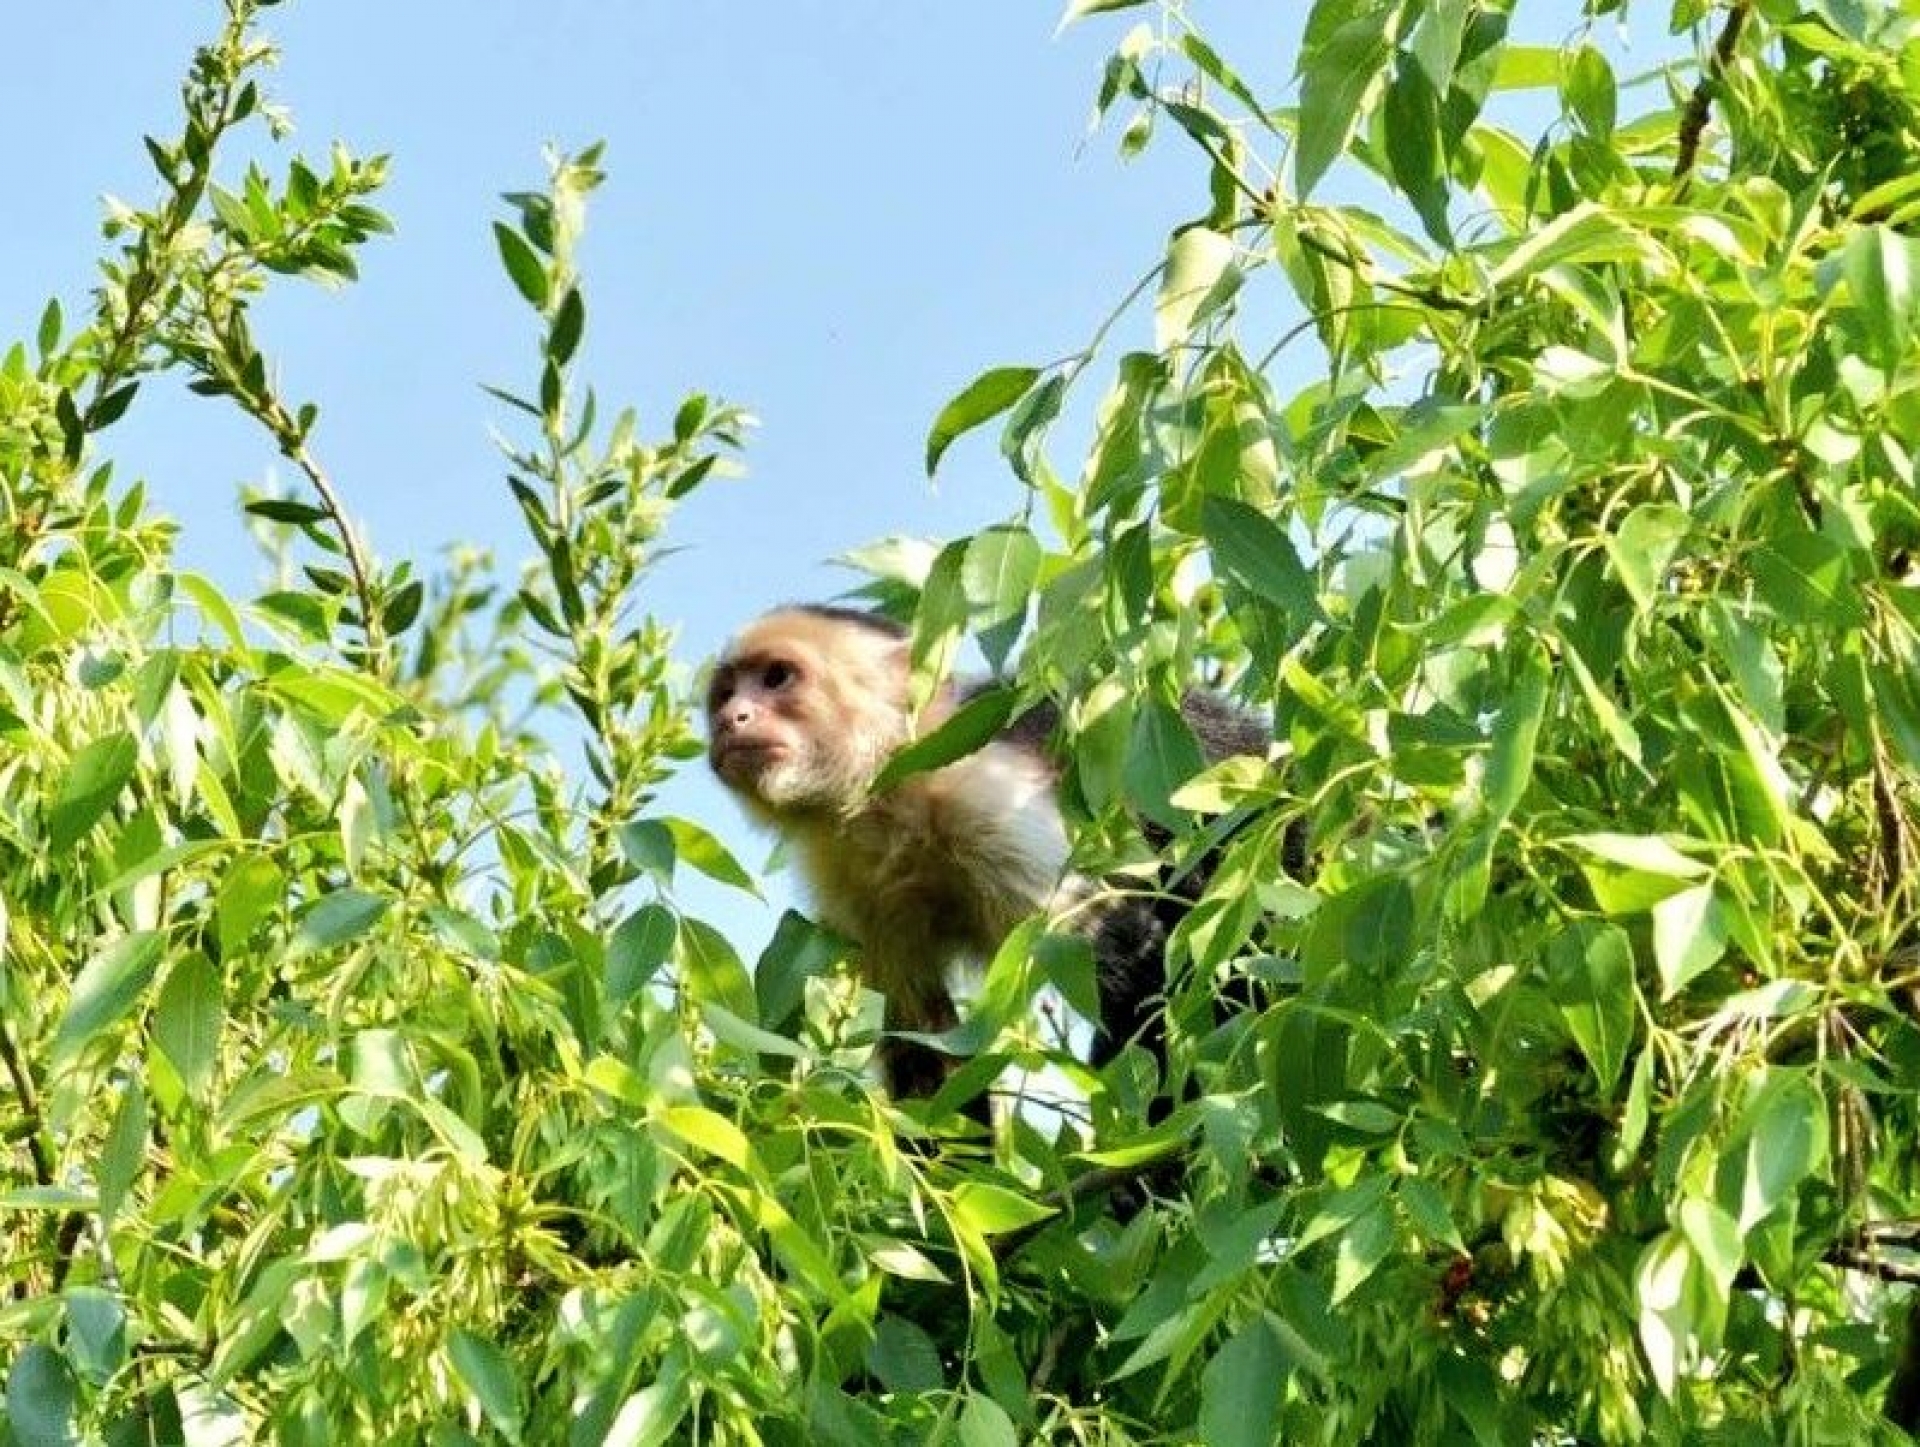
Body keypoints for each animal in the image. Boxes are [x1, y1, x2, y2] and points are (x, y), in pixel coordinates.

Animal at [705, 603, 1269, 1104]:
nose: (732, 718)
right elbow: (926, 1052)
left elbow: (1140, 965)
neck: (888, 801)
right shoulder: (849, 884)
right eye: (725, 695)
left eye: (777, 677)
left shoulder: (985, 797)